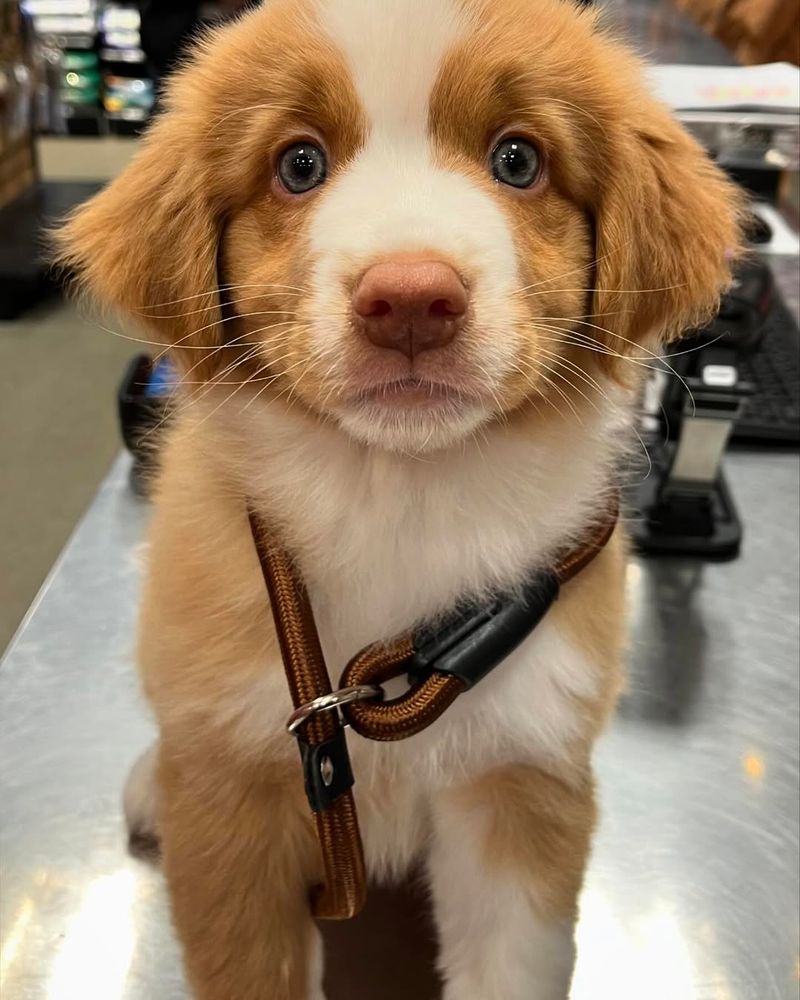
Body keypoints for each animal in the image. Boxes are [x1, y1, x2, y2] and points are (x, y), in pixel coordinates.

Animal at [57, 1, 736, 1000]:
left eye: (518, 159)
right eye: (299, 165)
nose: (411, 298)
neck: (399, 500)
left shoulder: (523, 781)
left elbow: (512, 968)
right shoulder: (234, 816)